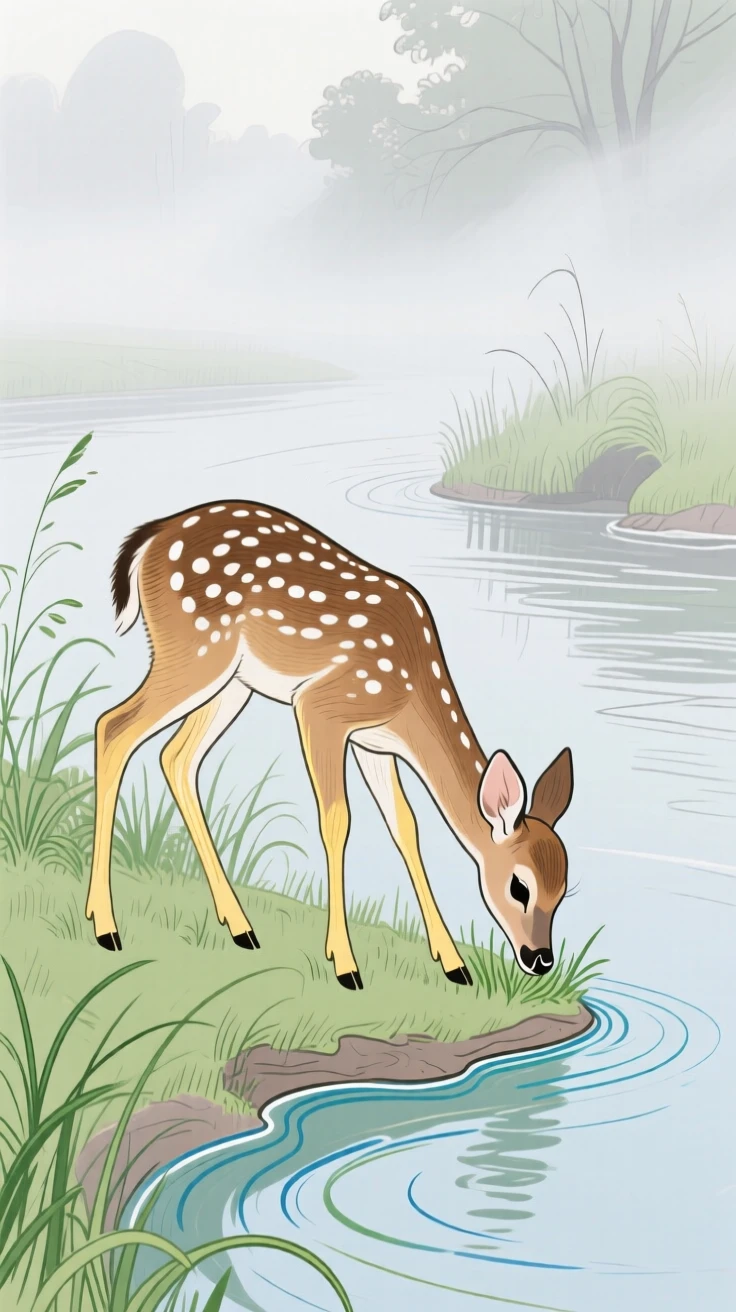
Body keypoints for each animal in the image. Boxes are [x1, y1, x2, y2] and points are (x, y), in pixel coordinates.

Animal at [85, 499, 574, 990]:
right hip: (194, 651)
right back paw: (106, 928)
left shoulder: (373, 743)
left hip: (231, 682)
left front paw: (455, 965)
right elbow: (337, 820)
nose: (540, 959)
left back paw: (241, 928)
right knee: (113, 726)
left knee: (176, 756)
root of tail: (152, 537)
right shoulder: (322, 708)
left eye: (563, 889)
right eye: (519, 885)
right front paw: (346, 965)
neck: (412, 690)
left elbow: (405, 826)